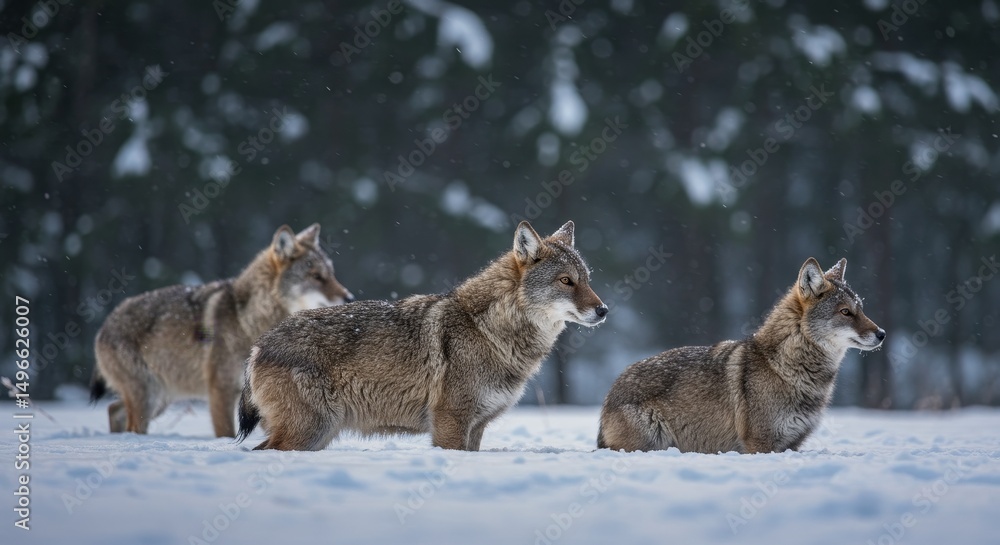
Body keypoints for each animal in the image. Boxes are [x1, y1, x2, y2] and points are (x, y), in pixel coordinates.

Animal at [90, 224, 353, 437]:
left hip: (160, 399)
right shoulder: (221, 390)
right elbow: (226, 433)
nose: (349, 297)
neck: (249, 320)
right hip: (149, 397)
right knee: (129, 422)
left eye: (331, 274)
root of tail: (105, 324)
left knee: (113, 409)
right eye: (317, 277)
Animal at [237, 221, 608, 451]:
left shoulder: (476, 427)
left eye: (587, 280)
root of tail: (258, 346)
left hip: (318, 435)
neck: (487, 330)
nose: (604, 310)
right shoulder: (450, 423)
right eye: (566, 281)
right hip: (309, 431)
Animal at [598, 257, 884, 454]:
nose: (882, 333)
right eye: (845, 312)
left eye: (861, 309)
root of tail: (610, 394)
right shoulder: (760, 443)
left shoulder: (792, 445)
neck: (783, 367)